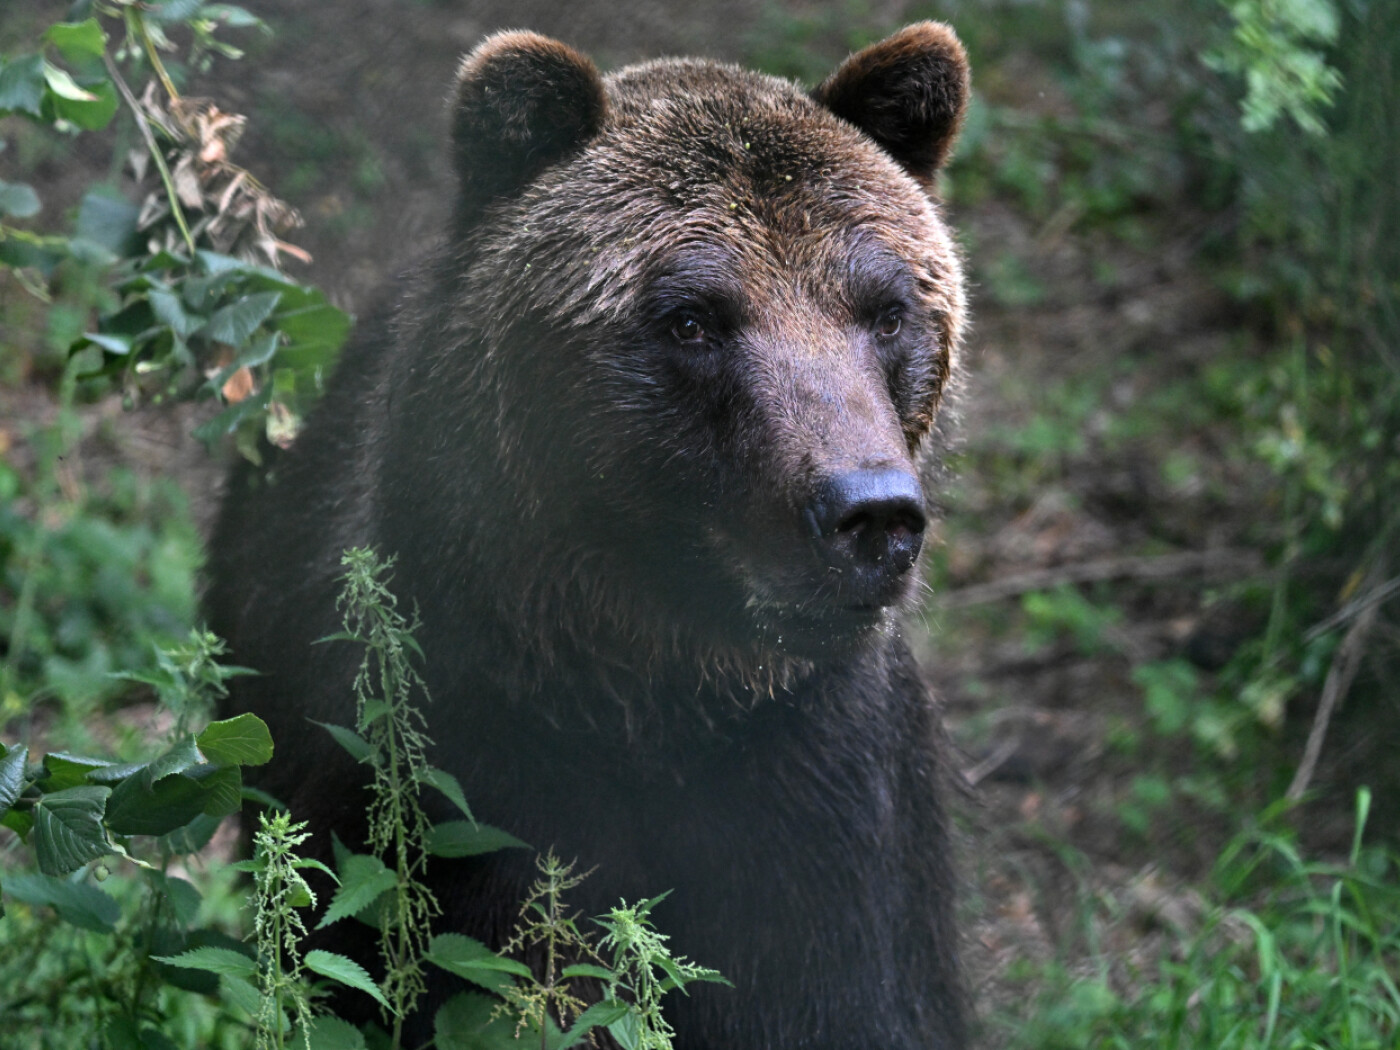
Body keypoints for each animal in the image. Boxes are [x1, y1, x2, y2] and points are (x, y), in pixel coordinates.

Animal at [206, 22, 972, 1049]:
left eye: (887, 310)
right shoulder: (454, 772)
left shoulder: (820, 800)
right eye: (691, 319)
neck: (648, 684)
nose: (869, 512)